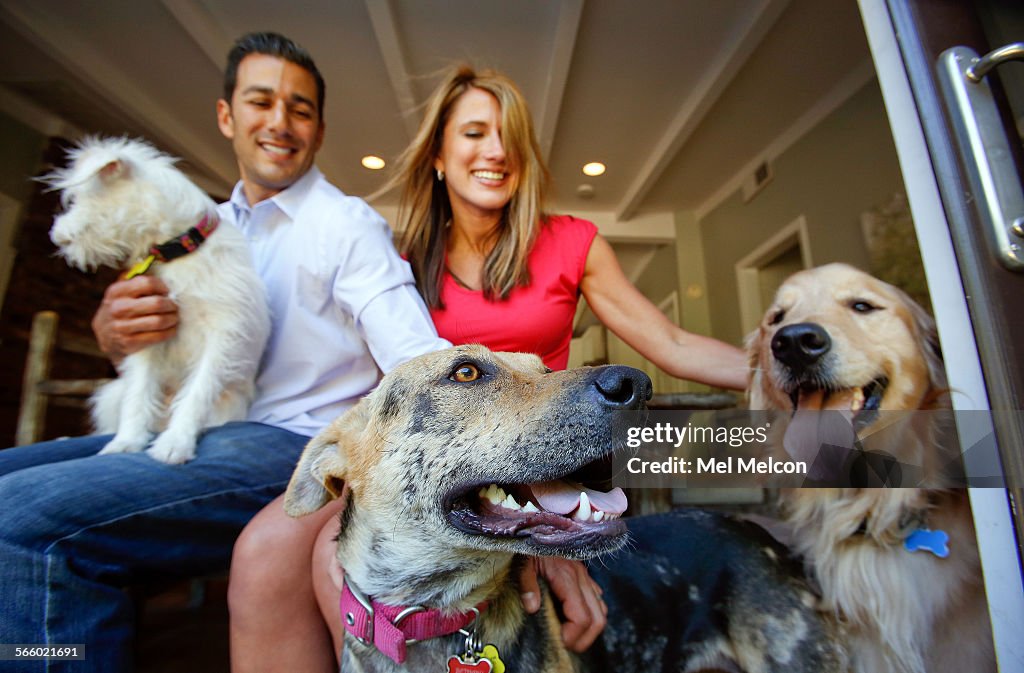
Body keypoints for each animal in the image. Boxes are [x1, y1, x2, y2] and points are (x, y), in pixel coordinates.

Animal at [47, 136, 272, 463]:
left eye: (75, 200)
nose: (55, 236)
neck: (180, 251)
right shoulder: (149, 334)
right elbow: (139, 394)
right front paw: (126, 441)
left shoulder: (223, 334)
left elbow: (197, 392)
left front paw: (175, 443)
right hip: (111, 393)